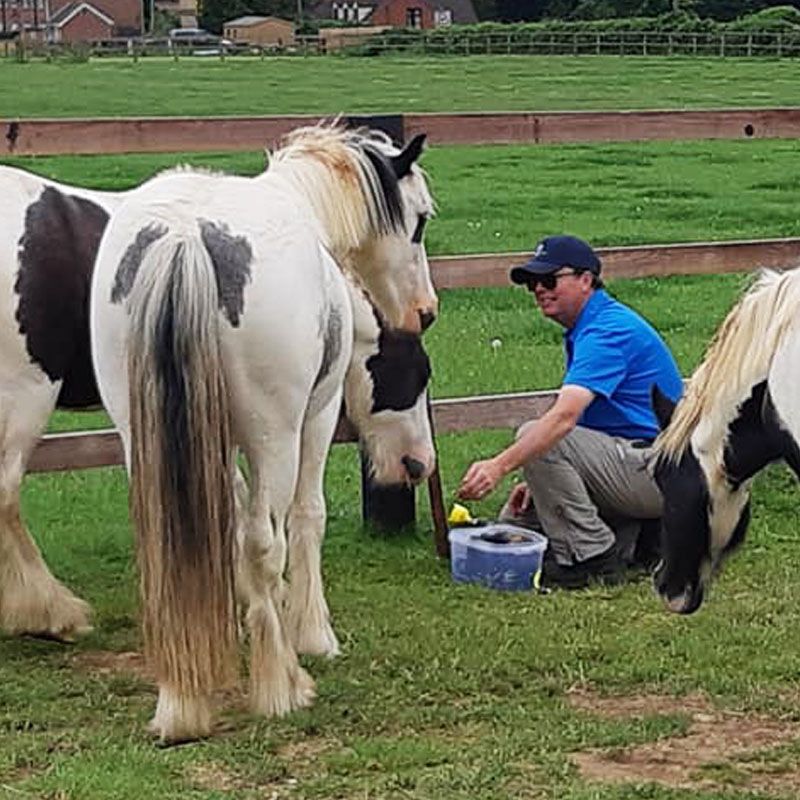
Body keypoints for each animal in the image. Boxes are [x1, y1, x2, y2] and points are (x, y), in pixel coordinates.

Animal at [90, 125, 438, 744]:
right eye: (419, 219)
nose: (426, 311)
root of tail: (184, 237)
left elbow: (224, 532)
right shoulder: (315, 419)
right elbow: (303, 519)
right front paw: (311, 634)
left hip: (140, 435)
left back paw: (181, 701)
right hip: (276, 437)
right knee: (264, 541)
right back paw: (282, 684)